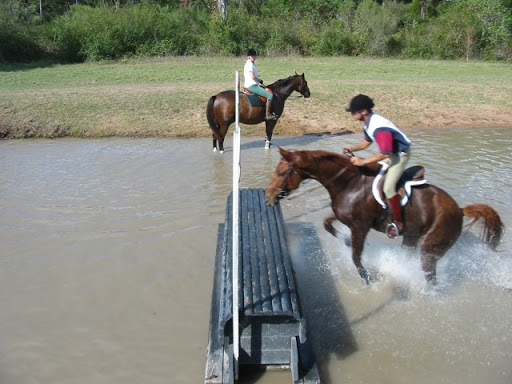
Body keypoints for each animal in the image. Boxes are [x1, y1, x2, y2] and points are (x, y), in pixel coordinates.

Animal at [264, 148, 504, 284]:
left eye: (282, 173)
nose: (268, 198)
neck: (348, 182)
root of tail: (460, 210)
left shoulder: (360, 227)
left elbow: (356, 257)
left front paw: (367, 279)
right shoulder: (346, 219)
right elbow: (327, 224)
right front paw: (345, 240)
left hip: (430, 248)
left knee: (430, 276)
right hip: (411, 237)